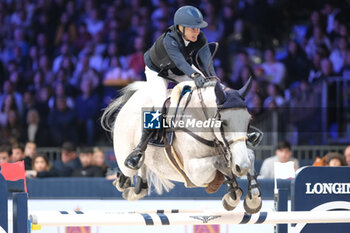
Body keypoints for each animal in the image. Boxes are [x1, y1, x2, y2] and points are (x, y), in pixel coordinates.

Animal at [100, 78, 262, 213]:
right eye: (223, 122)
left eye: (248, 121)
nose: (242, 167)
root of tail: (135, 97)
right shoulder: (193, 172)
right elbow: (220, 162)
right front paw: (233, 193)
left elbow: (250, 156)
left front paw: (252, 198)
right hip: (125, 157)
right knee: (127, 172)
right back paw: (127, 173)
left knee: (142, 178)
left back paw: (135, 188)